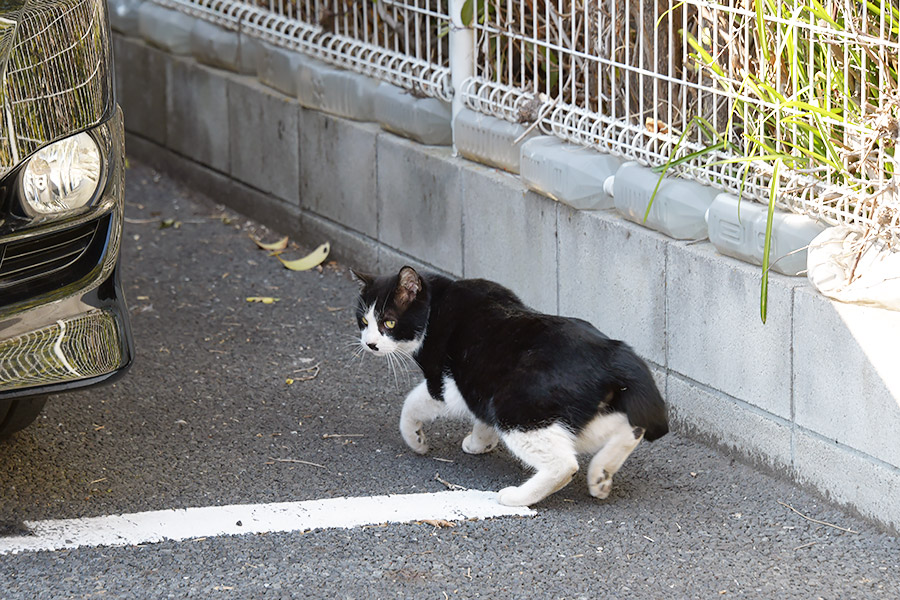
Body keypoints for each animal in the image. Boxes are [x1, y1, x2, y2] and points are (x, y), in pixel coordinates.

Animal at [352, 268, 668, 506]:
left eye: (389, 323)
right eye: (364, 320)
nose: (370, 343)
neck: (435, 304)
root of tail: (611, 352)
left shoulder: (443, 386)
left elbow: (412, 403)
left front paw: (416, 439)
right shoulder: (479, 384)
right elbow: (480, 416)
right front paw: (480, 443)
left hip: (518, 409)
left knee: (564, 463)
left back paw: (517, 497)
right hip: (573, 411)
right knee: (627, 428)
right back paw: (601, 476)